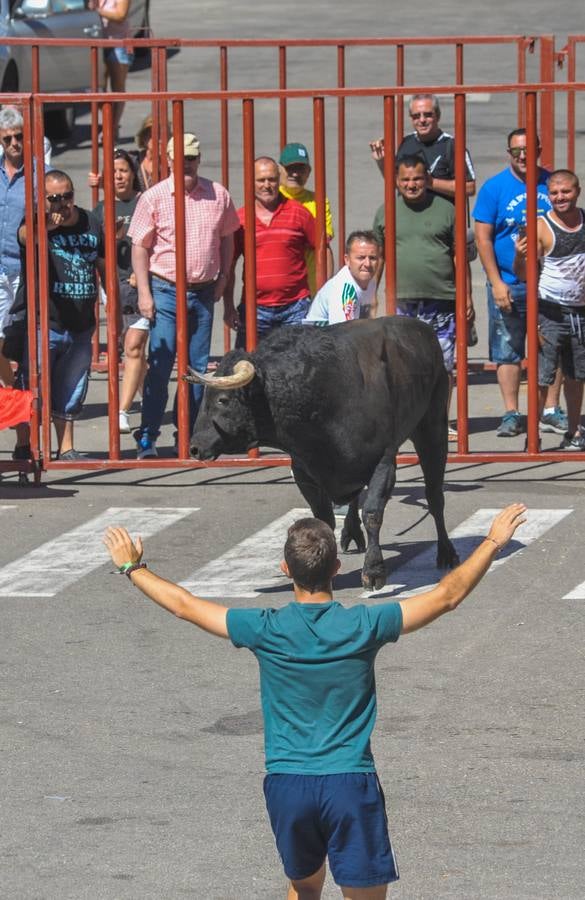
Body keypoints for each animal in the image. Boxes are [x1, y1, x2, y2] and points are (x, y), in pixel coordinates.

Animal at [185, 316, 458, 592]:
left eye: (222, 399)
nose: (194, 447)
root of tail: (422, 329)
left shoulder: (383, 461)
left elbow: (372, 513)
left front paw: (373, 571)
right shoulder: (305, 472)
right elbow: (324, 519)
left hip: (431, 427)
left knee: (434, 496)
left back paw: (446, 552)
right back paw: (352, 532)